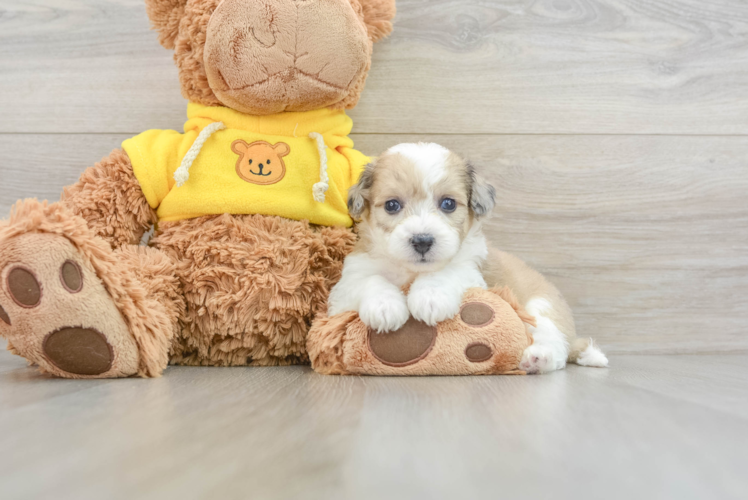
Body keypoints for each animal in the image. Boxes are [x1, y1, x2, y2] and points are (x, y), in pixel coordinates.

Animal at [328, 143, 608, 374]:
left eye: (448, 204)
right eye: (392, 205)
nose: (422, 241)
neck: (412, 272)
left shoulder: (472, 272)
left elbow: (448, 271)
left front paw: (430, 297)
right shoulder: (346, 285)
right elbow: (370, 280)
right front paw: (384, 306)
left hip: (541, 307)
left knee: (555, 343)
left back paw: (538, 358)